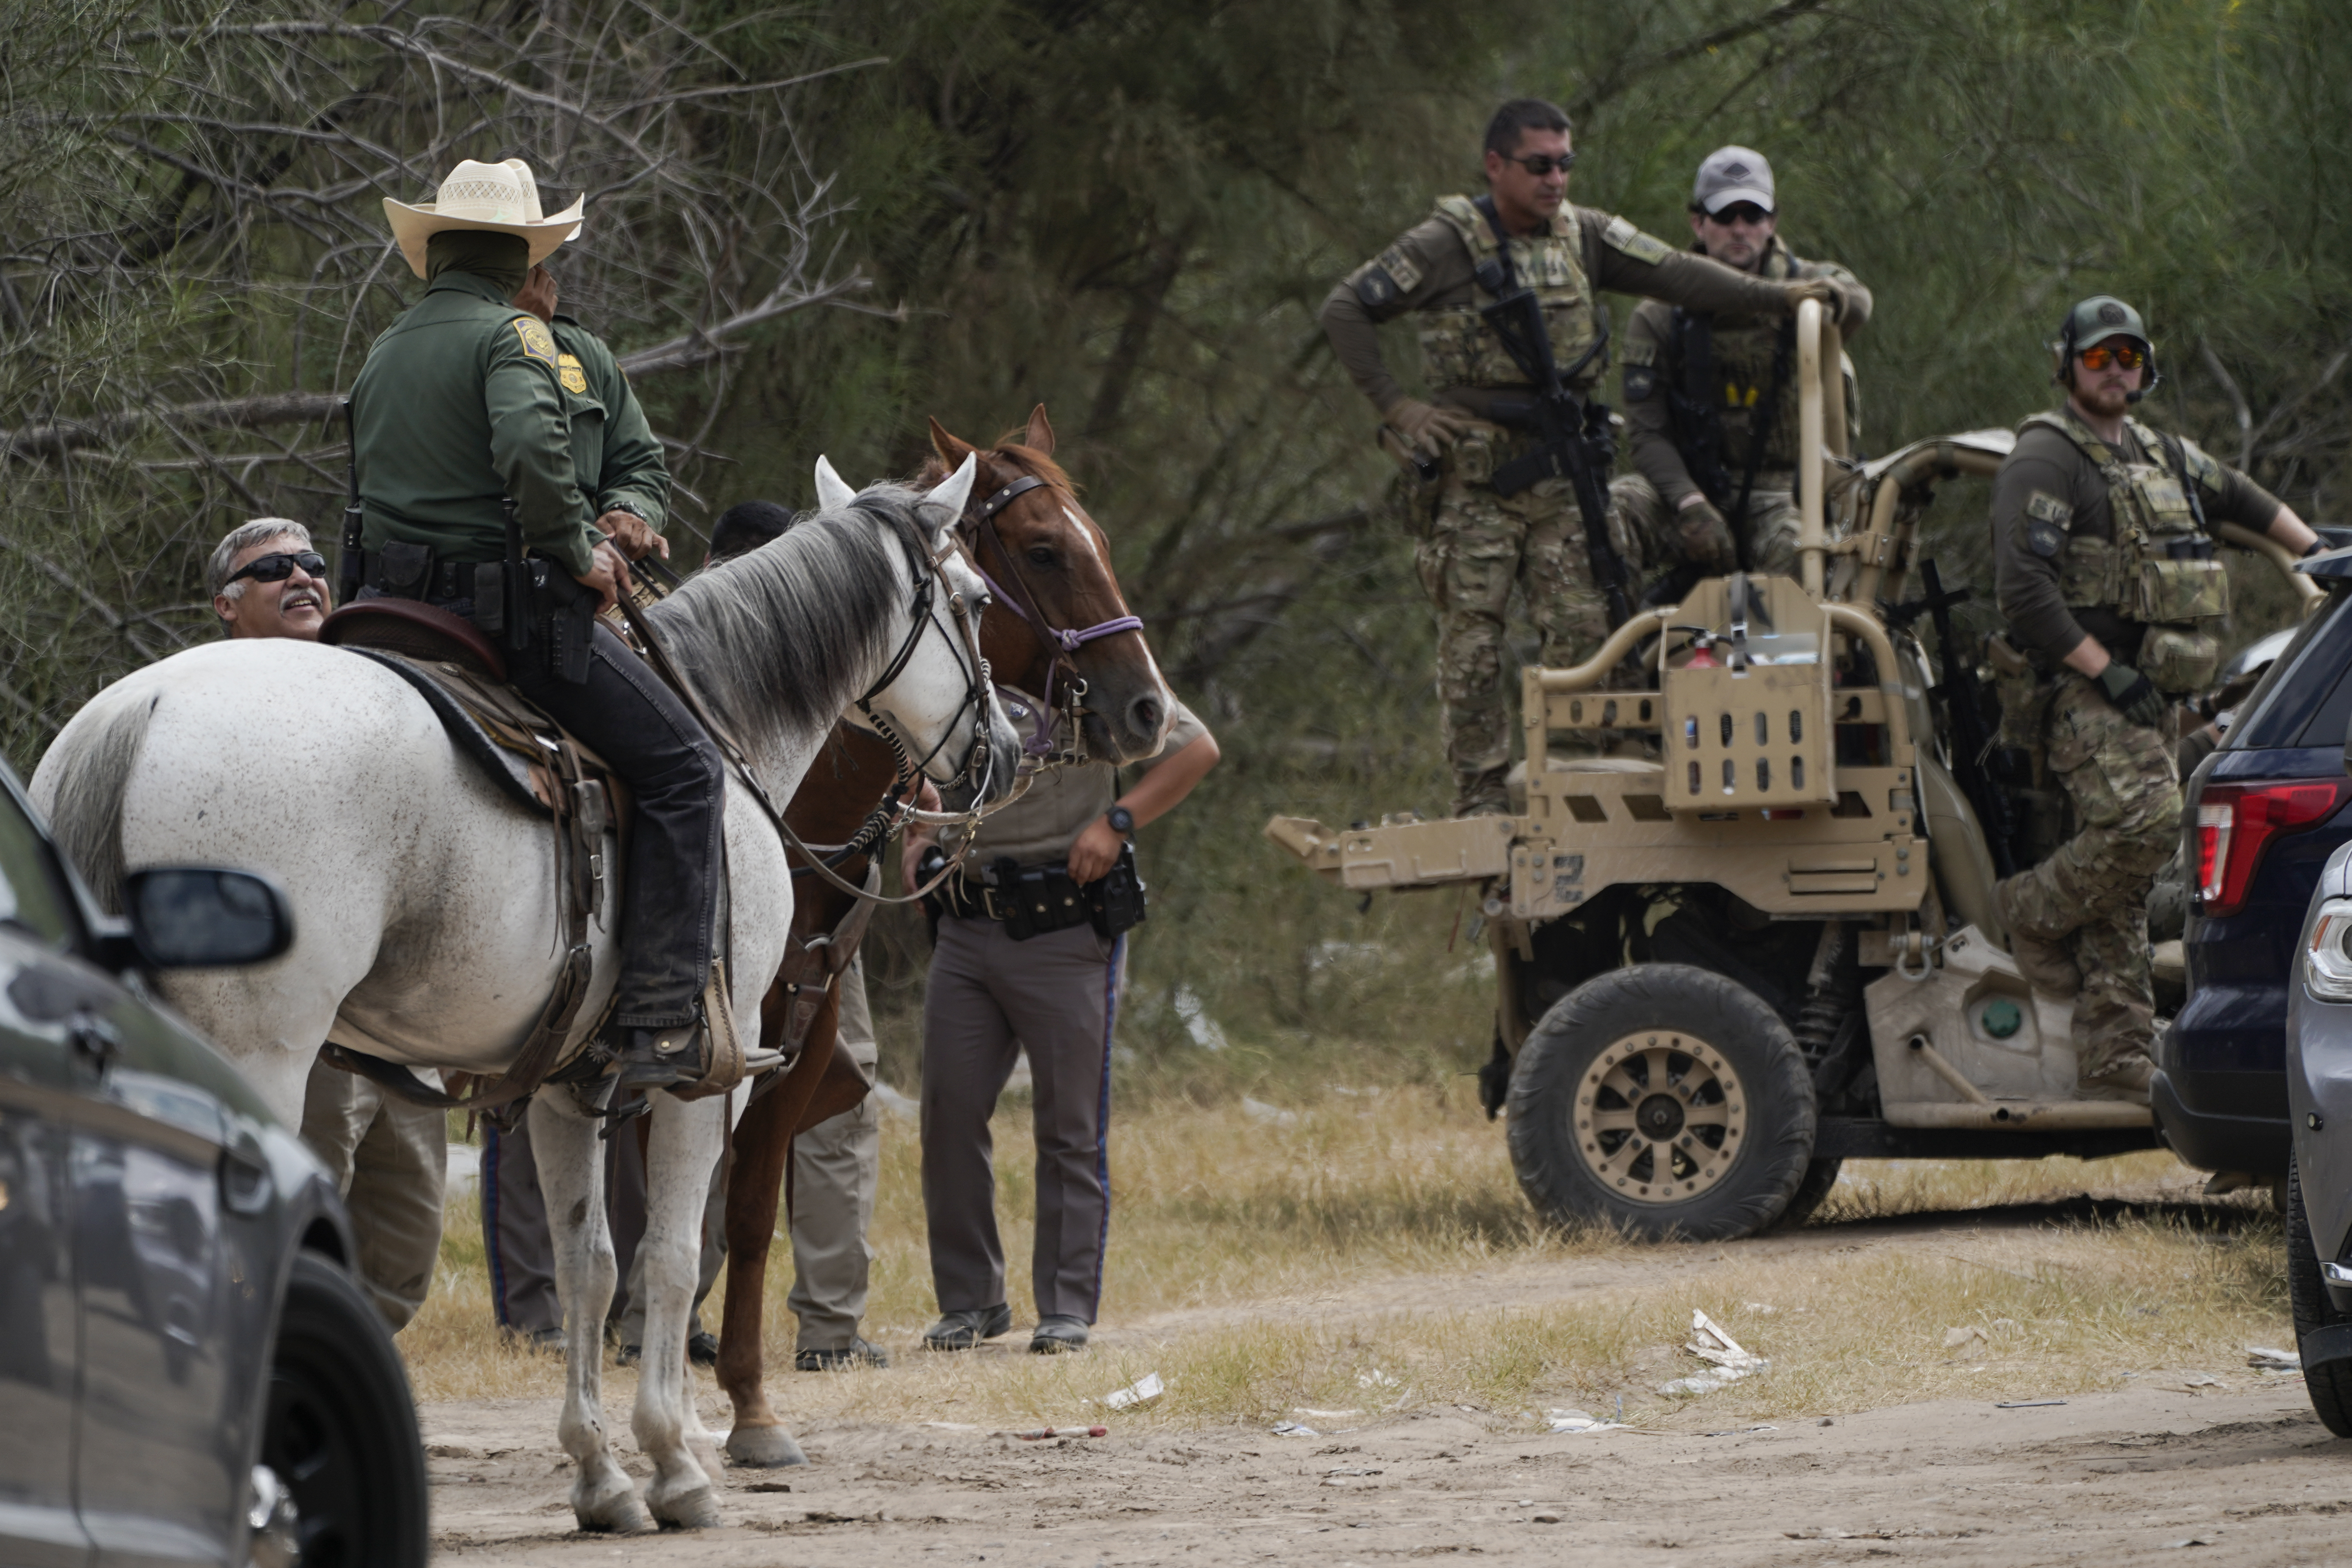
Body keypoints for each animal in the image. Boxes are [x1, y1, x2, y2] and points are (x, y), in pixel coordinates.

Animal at [705, 409, 1166, 1476]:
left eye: (1098, 539)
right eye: (1041, 549)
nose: (1148, 706)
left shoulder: (798, 1044)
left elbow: (744, 1211)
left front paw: (748, 1406)